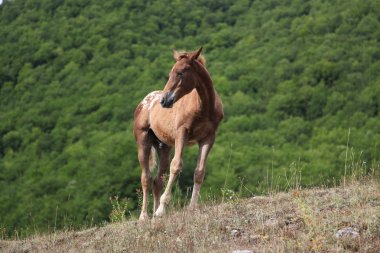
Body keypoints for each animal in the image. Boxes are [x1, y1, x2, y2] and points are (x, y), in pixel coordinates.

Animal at [133, 47, 223, 219]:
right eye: (170, 72)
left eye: (180, 72)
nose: (164, 100)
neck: (204, 107)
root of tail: (144, 102)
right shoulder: (182, 133)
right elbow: (176, 166)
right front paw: (162, 209)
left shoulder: (208, 138)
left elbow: (199, 171)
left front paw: (192, 208)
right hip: (143, 141)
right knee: (146, 177)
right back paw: (144, 216)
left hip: (164, 147)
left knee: (158, 180)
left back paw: (153, 213)